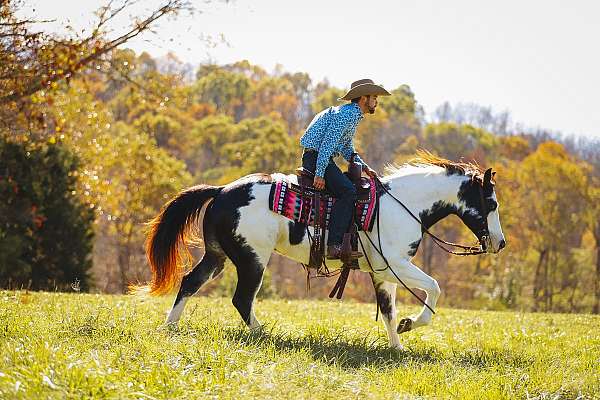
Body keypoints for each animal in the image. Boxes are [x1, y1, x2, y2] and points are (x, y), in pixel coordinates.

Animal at [145, 154, 506, 350]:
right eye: (491, 204)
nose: (500, 242)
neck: (402, 205)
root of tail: (221, 191)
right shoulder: (397, 266)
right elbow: (433, 289)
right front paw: (410, 324)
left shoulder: (383, 272)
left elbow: (388, 311)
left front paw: (397, 345)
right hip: (253, 259)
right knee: (242, 299)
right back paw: (265, 335)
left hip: (218, 256)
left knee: (191, 282)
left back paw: (170, 327)